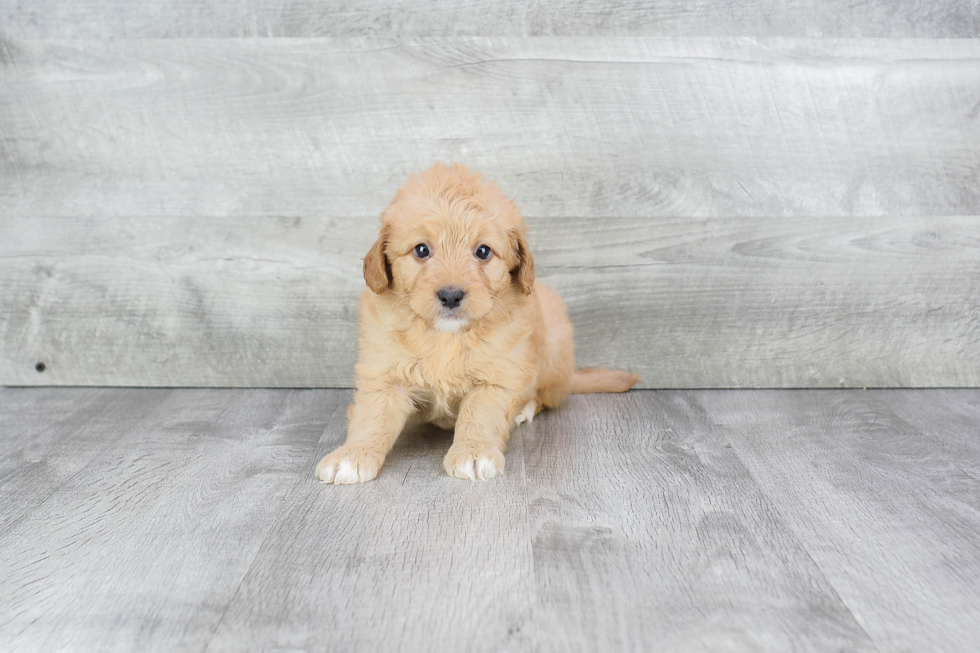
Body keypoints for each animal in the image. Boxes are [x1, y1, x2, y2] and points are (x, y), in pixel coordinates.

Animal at [318, 162, 640, 484]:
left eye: (483, 251)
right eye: (421, 250)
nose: (451, 295)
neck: (446, 336)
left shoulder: (498, 377)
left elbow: (479, 415)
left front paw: (474, 452)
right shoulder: (384, 375)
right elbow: (372, 417)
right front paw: (352, 455)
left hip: (554, 350)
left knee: (545, 396)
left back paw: (525, 409)